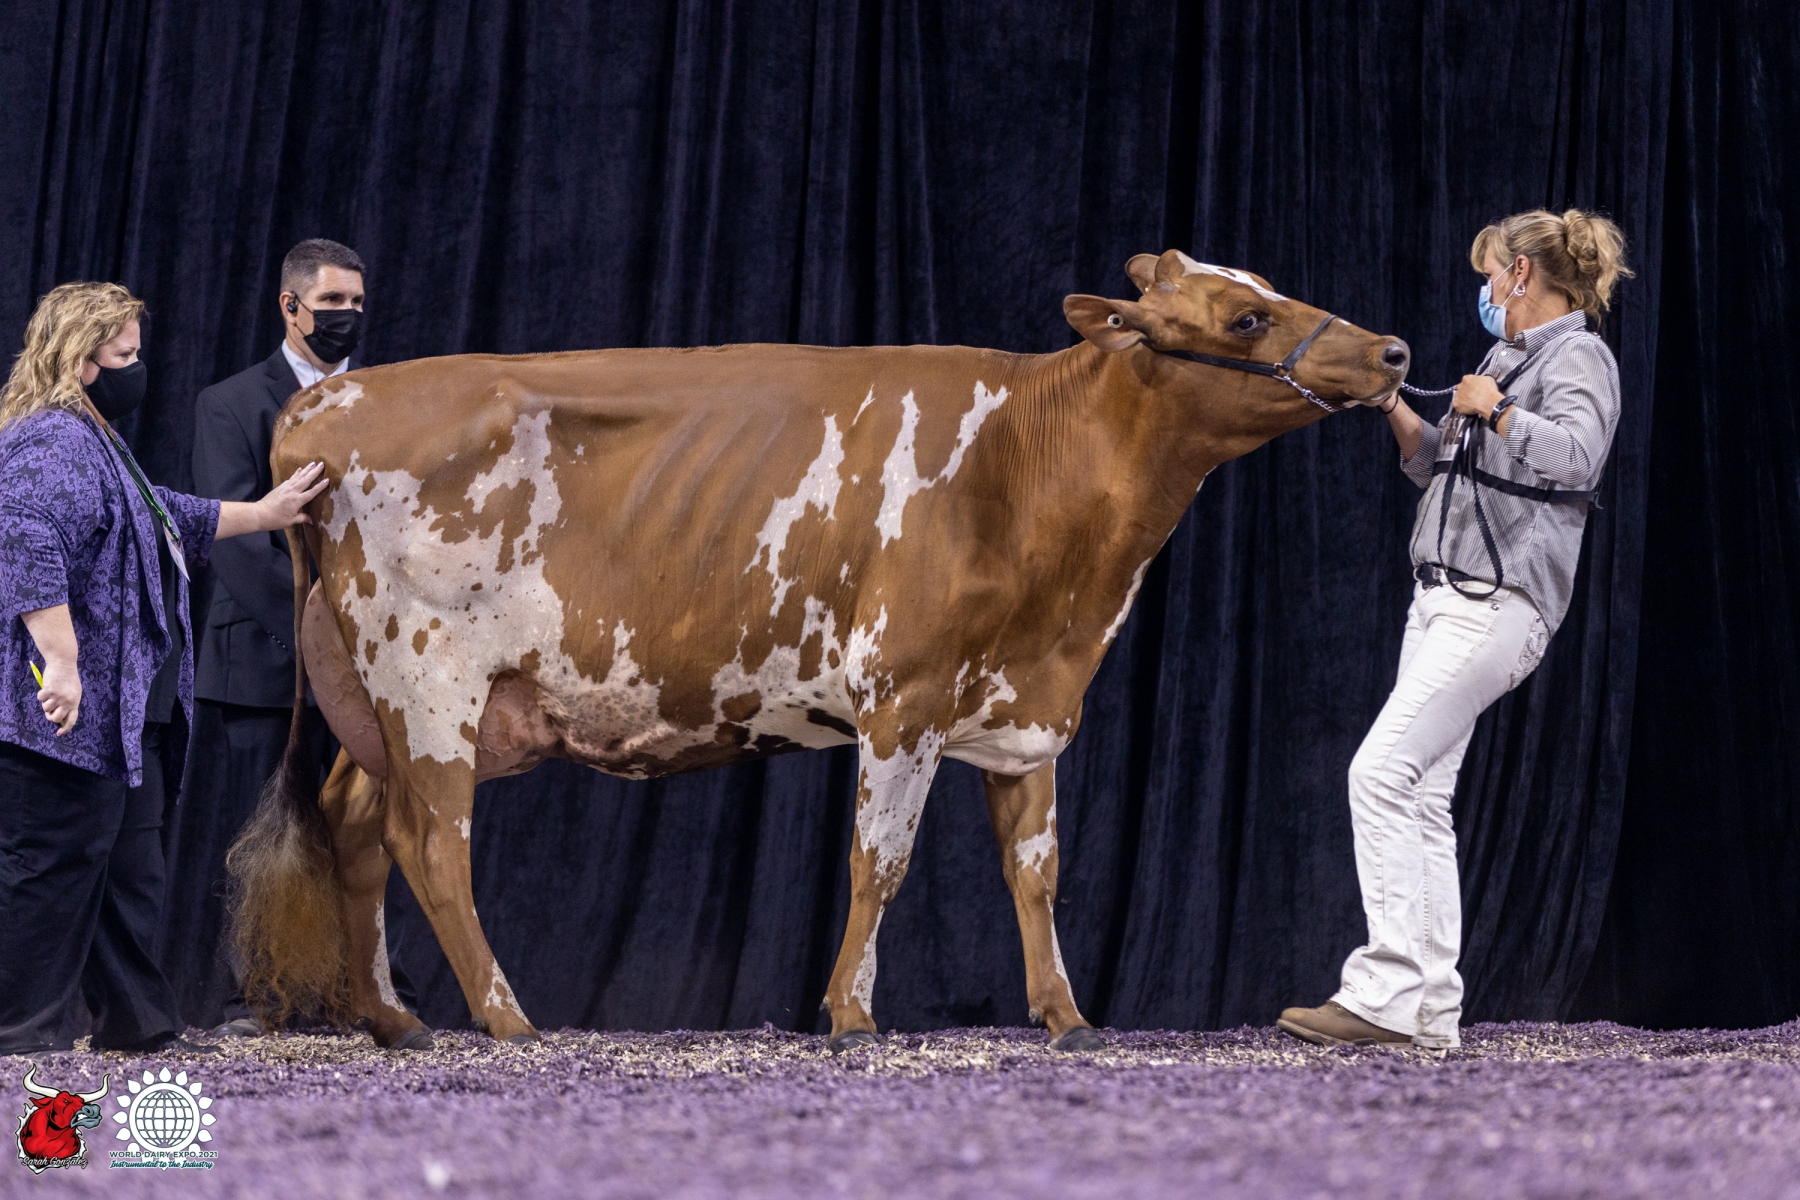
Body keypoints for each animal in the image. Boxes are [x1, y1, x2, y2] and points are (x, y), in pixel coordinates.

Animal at [227, 249, 1409, 1054]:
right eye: (1247, 315)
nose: (1394, 350)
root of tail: (324, 402)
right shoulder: (905, 694)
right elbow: (878, 862)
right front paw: (850, 1013)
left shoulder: (1026, 710)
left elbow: (1036, 870)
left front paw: (1066, 1016)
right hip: (430, 681)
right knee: (431, 844)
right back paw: (507, 1018)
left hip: (377, 697)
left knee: (355, 826)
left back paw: (393, 1019)